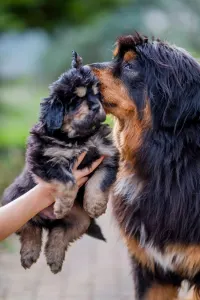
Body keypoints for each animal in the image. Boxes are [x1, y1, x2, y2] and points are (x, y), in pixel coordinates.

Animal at [1, 52, 119, 274]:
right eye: (76, 99)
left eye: (96, 94)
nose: (96, 105)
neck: (78, 138)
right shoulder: (45, 159)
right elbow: (68, 181)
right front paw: (63, 205)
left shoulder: (107, 155)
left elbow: (98, 183)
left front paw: (95, 206)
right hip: (15, 196)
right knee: (30, 227)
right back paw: (29, 254)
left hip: (80, 220)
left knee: (59, 234)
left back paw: (54, 259)